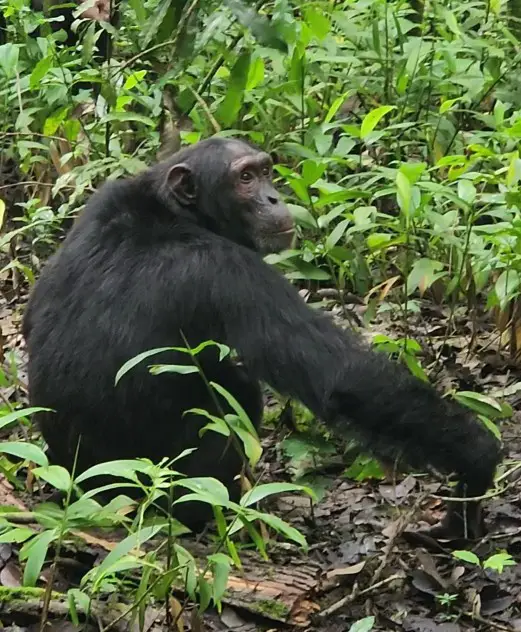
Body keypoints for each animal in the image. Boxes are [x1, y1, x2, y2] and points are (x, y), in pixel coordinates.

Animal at [23, 137, 500, 540]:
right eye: (245, 178)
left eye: (266, 171)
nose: (274, 197)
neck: (175, 212)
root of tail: (96, 498)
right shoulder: (229, 273)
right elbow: (343, 377)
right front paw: (477, 461)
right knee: (238, 395)